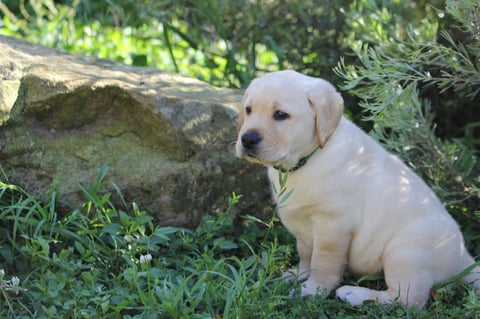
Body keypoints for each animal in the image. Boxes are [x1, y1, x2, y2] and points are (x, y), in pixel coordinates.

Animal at [236, 70, 480, 308]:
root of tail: (463, 256)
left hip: (406, 252)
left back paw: (356, 294)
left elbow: (323, 262)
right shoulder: (303, 228)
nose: (247, 139)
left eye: (281, 115)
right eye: (248, 110)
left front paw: (313, 289)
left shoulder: (334, 225)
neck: (308, 159)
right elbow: (305, 254)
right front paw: (298, 274)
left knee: (407, 299)